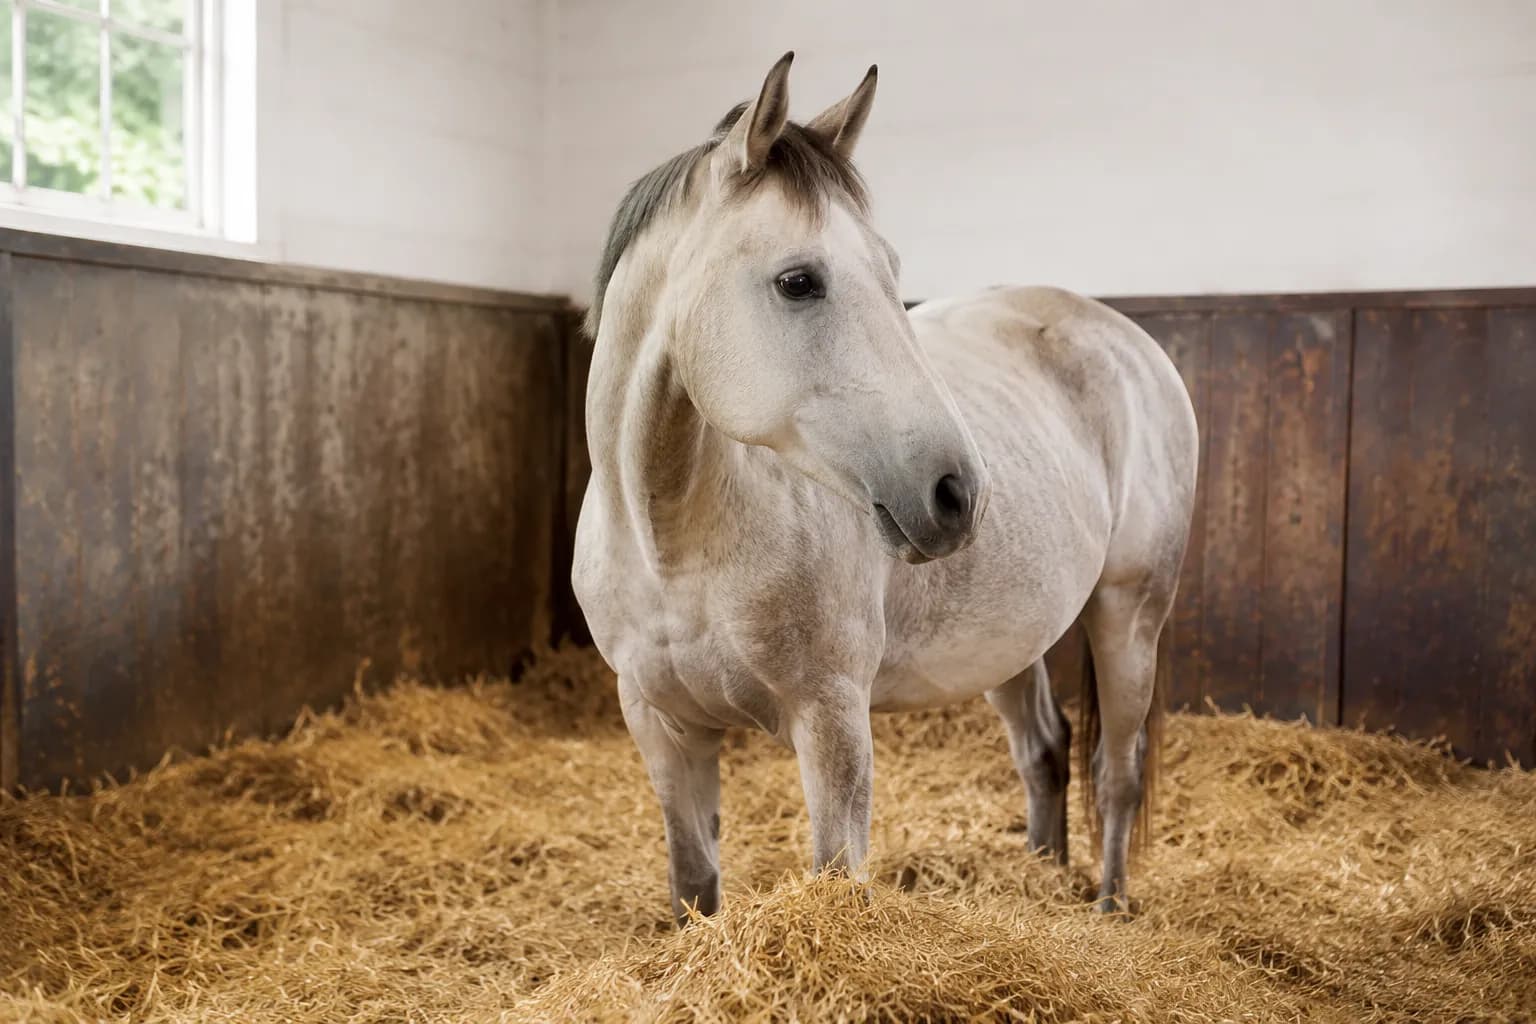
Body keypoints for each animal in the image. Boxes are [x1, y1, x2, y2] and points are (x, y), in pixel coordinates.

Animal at [571, 52, 1198, 923]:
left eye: (892, 270)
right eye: (799, 281)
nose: (957, 493)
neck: (674, 541)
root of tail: (1132, 343)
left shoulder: (833, 721)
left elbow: (838, 875)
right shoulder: (664, 730)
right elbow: (694, 886)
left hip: (1129, 612)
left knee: (1119, 773)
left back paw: (1107, 909)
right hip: (1012, 639)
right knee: (1045, 749)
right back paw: (1041, 878)